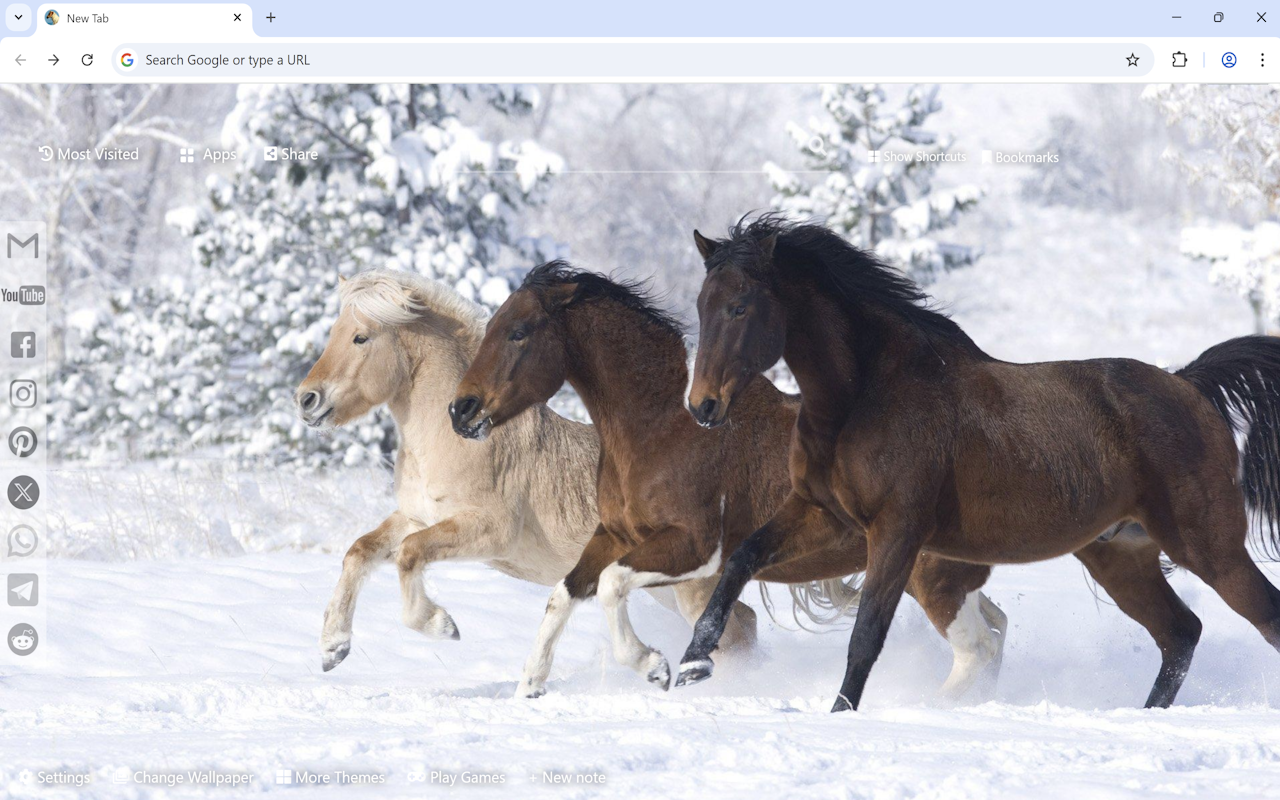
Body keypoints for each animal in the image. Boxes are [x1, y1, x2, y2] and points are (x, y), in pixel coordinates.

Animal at [295, 269, 755, 673]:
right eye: (334, 332)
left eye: (361, 337)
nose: (306, 400)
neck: (454, 440)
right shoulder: (417, 517)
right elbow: (360, 551)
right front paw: (333, 648)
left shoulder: (488, 530)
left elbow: (408, 555)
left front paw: (442, 625)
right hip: (665, 587)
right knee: (743, 622)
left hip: (690, 587)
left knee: (735, 631)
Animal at [450, 260, 1008, 698]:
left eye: (519, 331)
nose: (461, 410)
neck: (660, 427)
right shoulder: (614, 535)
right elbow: (563, 594)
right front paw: (530, 686)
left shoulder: (695, 547)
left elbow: (611, 587)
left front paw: (655, 667)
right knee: (995, 630)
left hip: (929, 576)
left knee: (978, 648)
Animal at [678, 215, 1280, 713]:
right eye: (701, 305)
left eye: (740, 306)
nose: (702, 406)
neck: (865, 395)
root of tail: (1189, 385)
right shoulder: (821, 513)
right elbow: (741, 559)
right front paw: (692, 663)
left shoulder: (897, 530)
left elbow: (866, 634)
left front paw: (840, 716)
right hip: (1121, 556)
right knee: (1180, 633)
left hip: (1209, 546)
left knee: (1259, 617)